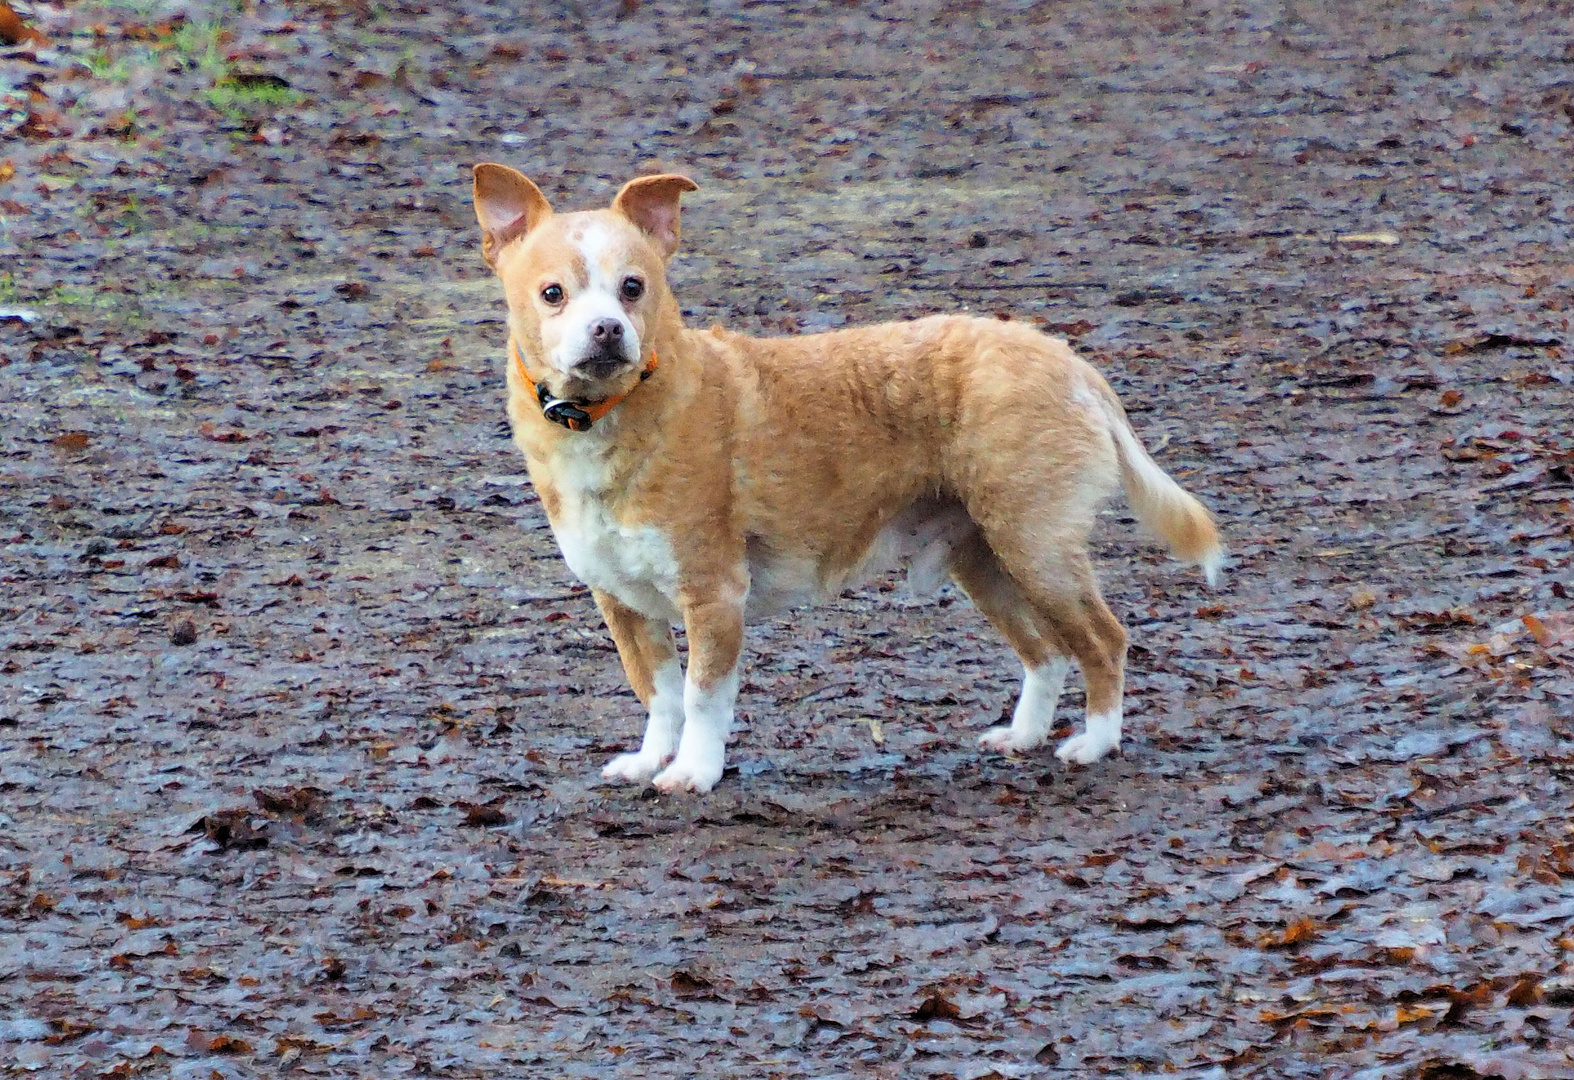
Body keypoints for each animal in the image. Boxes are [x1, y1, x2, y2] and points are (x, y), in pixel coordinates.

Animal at [472, 165, 1221, 799]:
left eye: (634, 287)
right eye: (553, 294)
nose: (608, 330)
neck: (606, 418)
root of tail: (1068, 361)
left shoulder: (713, 594)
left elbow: (702, 696)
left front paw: (693, 772)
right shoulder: (621, 603)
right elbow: (657, 692)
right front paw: (652, 759)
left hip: (1037, 550)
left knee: (1103, 642)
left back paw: (1095, 743)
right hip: (988, 562)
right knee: (1046, 653)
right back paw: (1026, 734)